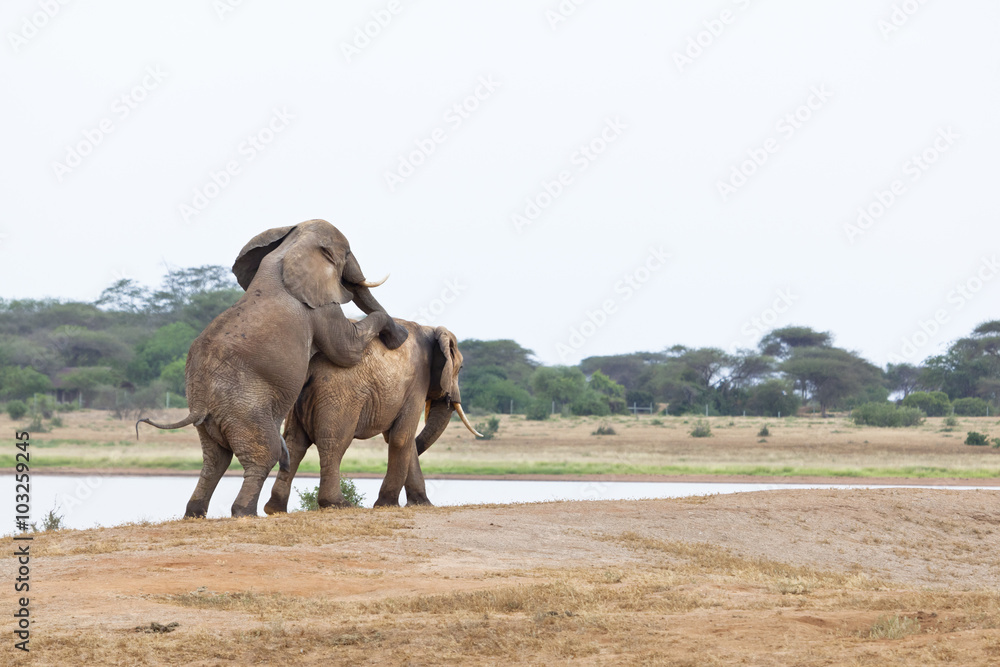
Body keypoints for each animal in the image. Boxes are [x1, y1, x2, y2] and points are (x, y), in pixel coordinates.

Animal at [137, 219, 409, 518]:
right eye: (347, 253)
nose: (401, 336)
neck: (291, 244)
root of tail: (199, 405)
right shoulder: (319, 308)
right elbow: (346, 351)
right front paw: (399, 335)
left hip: (212, 416)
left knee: (214, 460)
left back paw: (195, 513)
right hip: (244, 407)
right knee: (262, 454)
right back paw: (244, 512)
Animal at [263, 319, 481, 514]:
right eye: (460, 368)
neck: (431, 329)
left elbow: (400, 437)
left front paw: (422, 505)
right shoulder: (417, 382)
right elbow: (402, 437)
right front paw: (387, 504)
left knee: (295, 442)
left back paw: (274, 509)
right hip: (340, 396)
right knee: (335, 442)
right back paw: (338, 505)